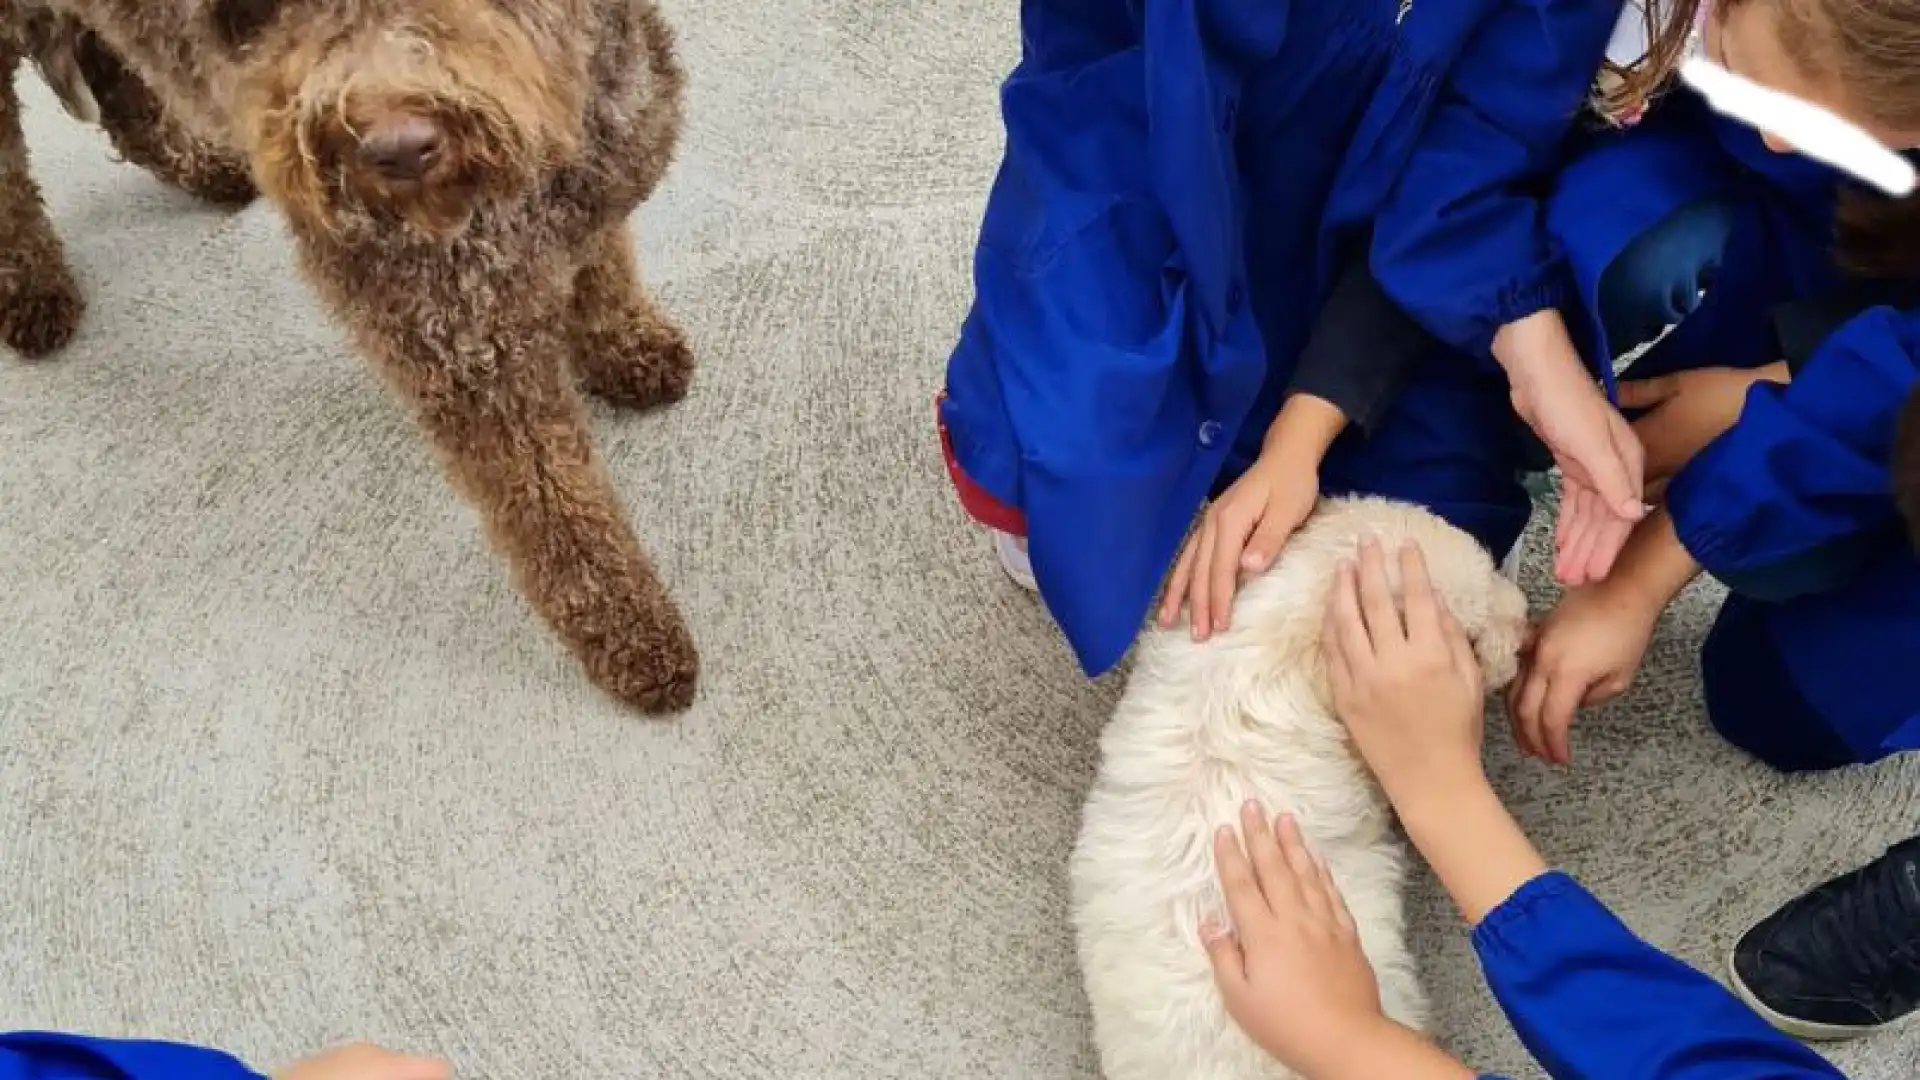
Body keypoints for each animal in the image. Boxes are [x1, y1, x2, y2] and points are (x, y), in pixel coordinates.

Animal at [3, 0, 702, 711]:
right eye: (263, 13)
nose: (396, 149)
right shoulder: (456, 338)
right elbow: (556, 512)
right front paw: (630, 631)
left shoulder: (594, 179)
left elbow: (599, 262)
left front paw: (626, 346)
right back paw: (34, 289)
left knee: (126, 99)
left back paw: (206, 166)